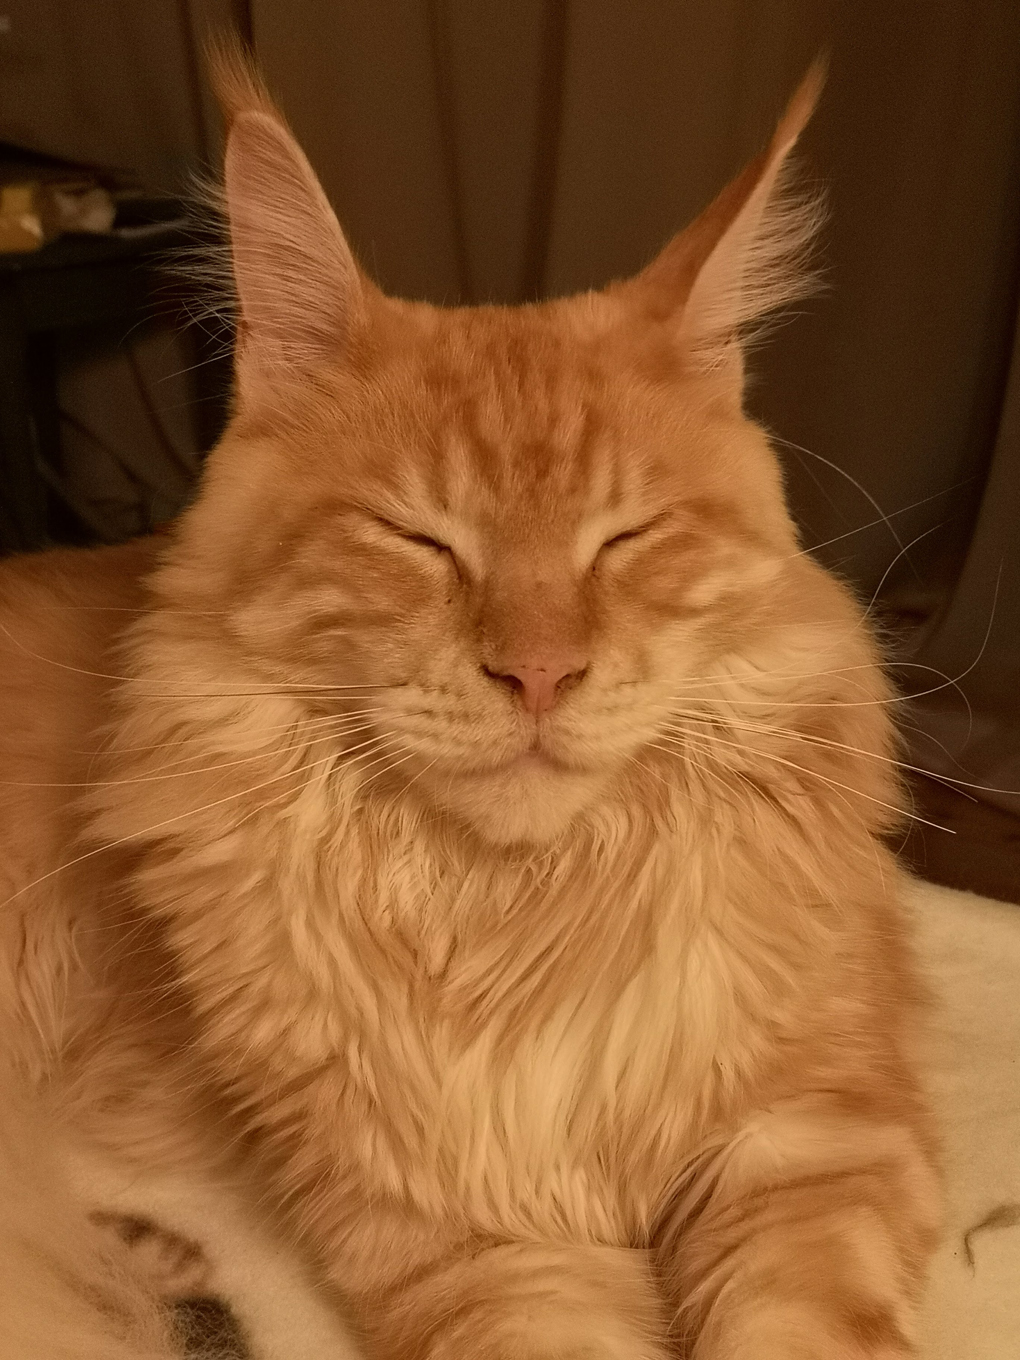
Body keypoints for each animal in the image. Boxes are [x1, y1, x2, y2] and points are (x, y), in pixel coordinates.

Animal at [1, 53, 941, 1360]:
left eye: (625, 538)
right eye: (420, 541)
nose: (539, 673)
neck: (518, 917)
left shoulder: (815, 1144)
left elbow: (794, 1327)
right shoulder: (459, 1233)